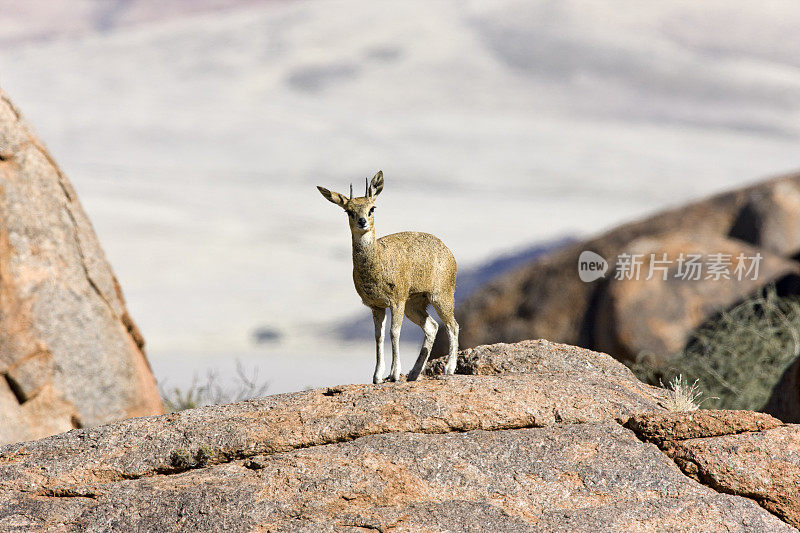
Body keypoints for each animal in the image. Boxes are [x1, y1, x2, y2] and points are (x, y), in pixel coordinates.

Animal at [318, 170, 460, 382]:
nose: (362, 222)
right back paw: (414, 373)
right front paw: (377, 376)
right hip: (414, 303)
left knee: (452, 325)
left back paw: (449, 368)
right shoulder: (375, 305)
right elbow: (379, 336)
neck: (378, 262)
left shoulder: (396, 300)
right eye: (348, 211)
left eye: (372, 208)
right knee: (432, 326)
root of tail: (449, 252)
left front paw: (393, 374)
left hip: (441, 295)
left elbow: (394, 332)